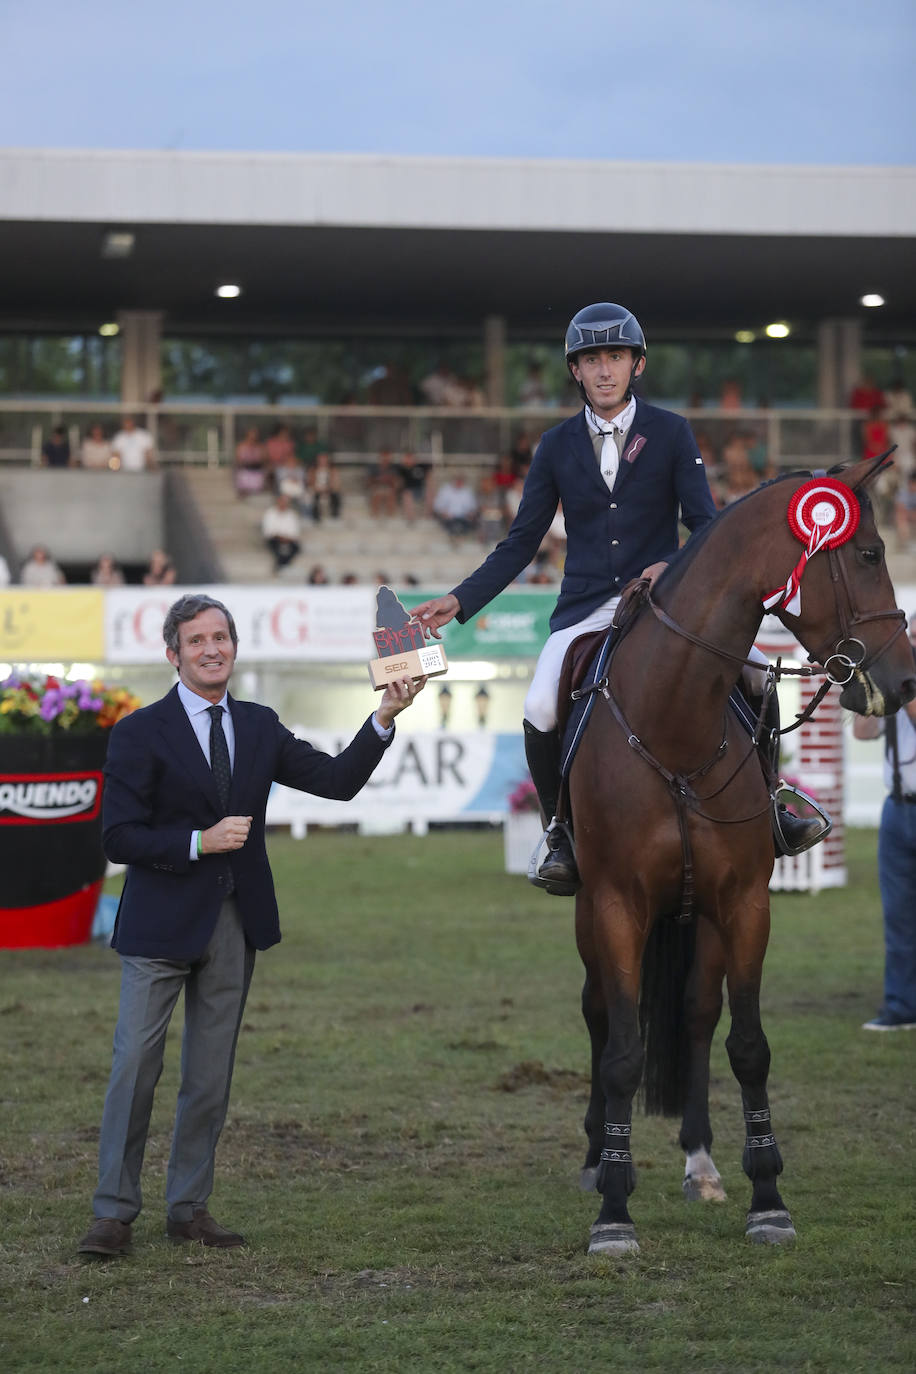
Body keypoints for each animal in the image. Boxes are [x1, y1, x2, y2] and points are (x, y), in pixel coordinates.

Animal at [574, 453, 916, 1258]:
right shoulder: (614, 904)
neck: (674, 724)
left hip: (699, 915)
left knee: (698, 1015)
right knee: (601, 1015)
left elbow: (749, 1044)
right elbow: (623, 1051)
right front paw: (613, 1209)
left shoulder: (744, 902)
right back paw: (595, 1157)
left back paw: (701, 1163)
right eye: (868, 554)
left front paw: (768, 1199)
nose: (905, 681)